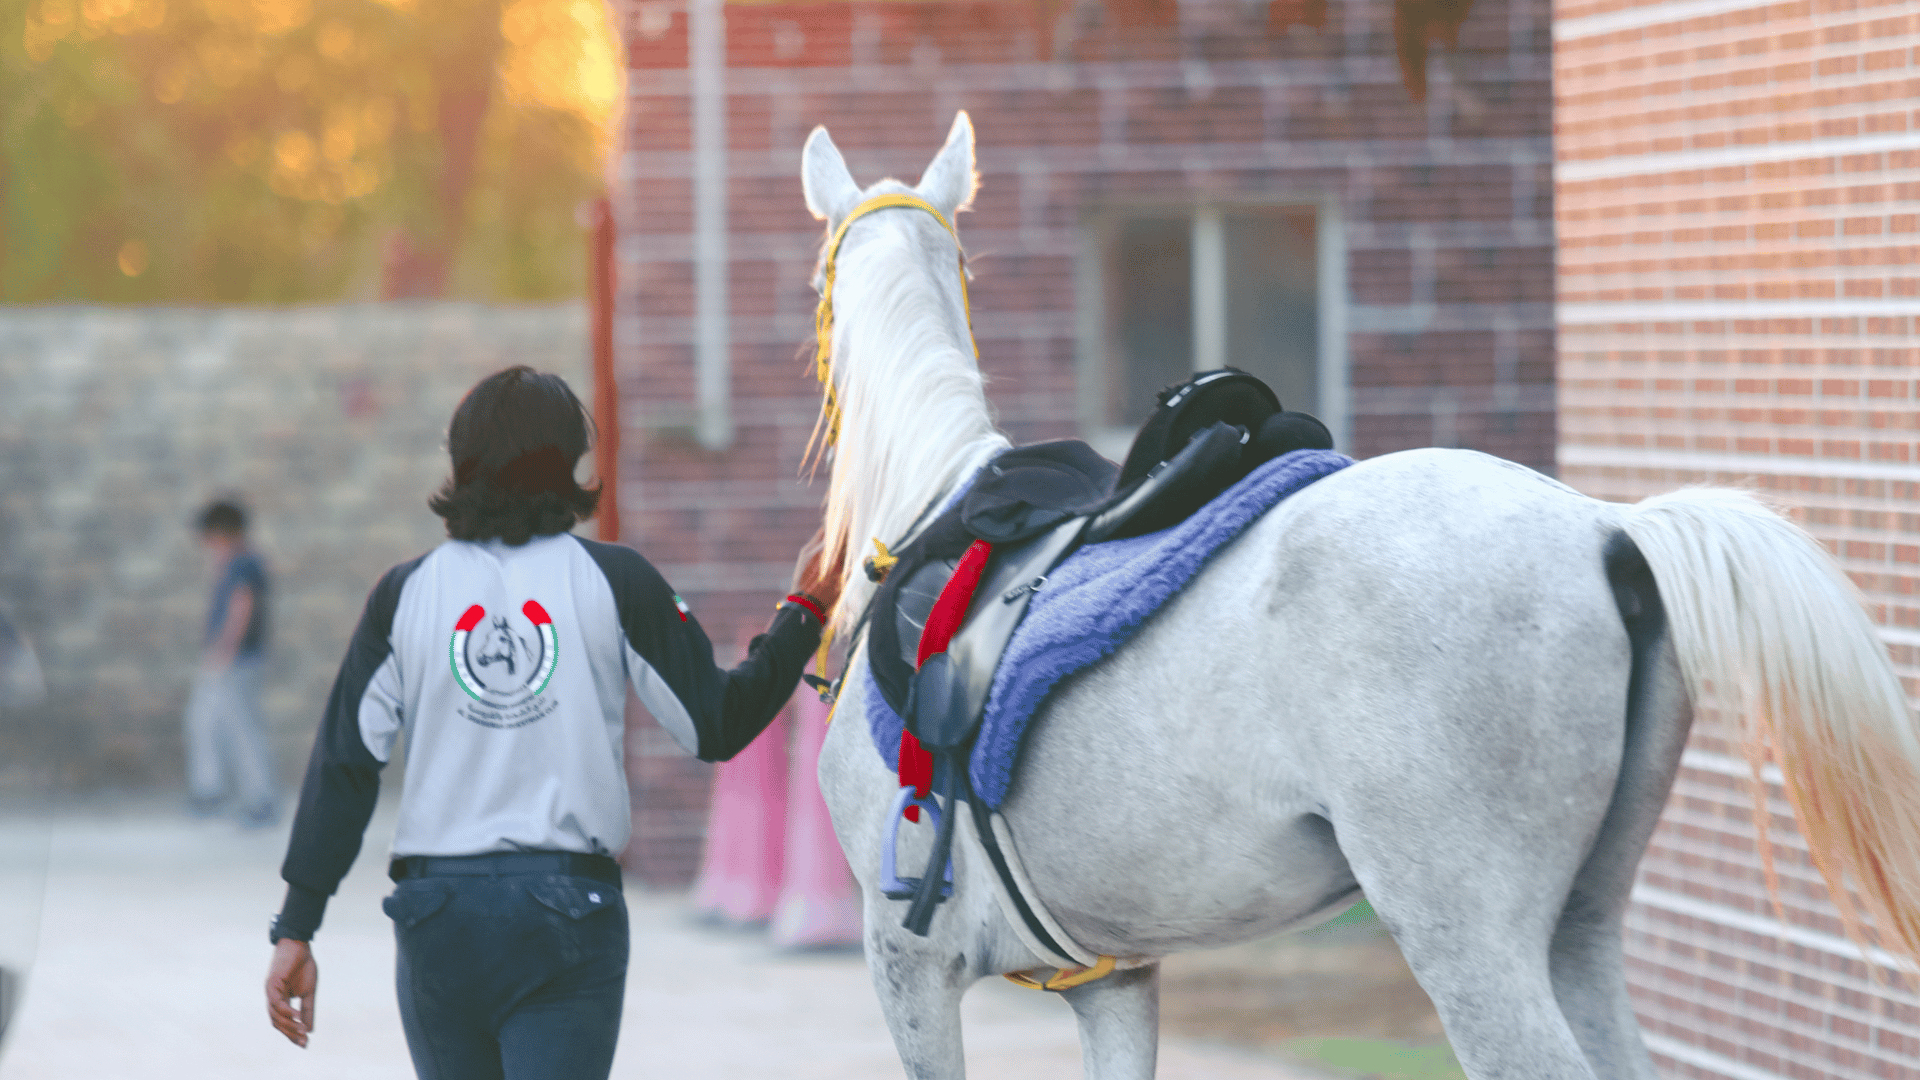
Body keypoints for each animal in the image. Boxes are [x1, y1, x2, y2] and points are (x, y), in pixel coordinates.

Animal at [800, 111, 1920, 1080]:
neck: (940, 503)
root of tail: (1604, 529)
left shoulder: (910, 968)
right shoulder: (1114, 983)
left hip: (1467, 936)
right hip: (1583, 929)